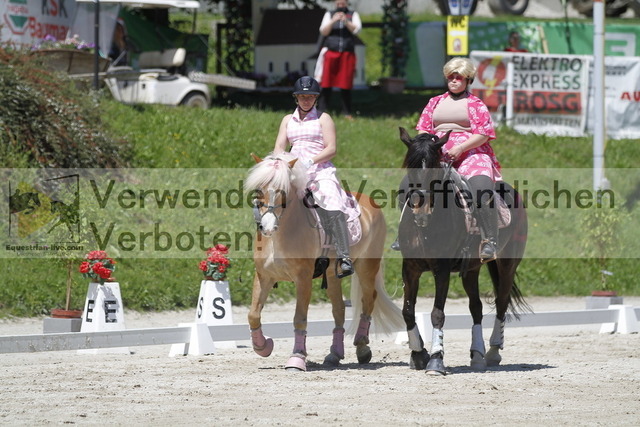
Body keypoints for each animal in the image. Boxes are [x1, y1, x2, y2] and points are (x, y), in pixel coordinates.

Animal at [244, 152, 405, 371]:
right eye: (258, 191)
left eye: (284, 193)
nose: (267, 227)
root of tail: (370, 201)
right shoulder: (264, 276)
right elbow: (253, 314)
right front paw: (264, 346)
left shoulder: (303, 279)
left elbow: (300, 319)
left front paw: (297, 358)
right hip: (332, 275)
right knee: (339, 310)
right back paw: (334, 354)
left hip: (367, 266)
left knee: (369, 299)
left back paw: (362, 347)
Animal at [396, 127, 529, 375]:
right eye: (409, 166)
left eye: (435, 167)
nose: (421, 212)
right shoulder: (410, 268)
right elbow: (407, 311)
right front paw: (418, 354)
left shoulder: (442, 269)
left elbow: (437, 314)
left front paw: (436, 360)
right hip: (472, 269)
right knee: (476, 308)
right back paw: (477, 355)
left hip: (508, 263)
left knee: (501, 302)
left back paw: (493, 351)